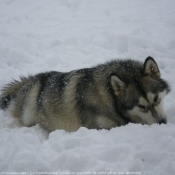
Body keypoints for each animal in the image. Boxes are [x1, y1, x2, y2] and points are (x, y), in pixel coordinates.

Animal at [0, 56, 170, 132]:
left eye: (156, 98)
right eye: (141, 106)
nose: (162, 122)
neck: (109, 96)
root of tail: (30, 79)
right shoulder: (99, 127)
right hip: (29, 109)